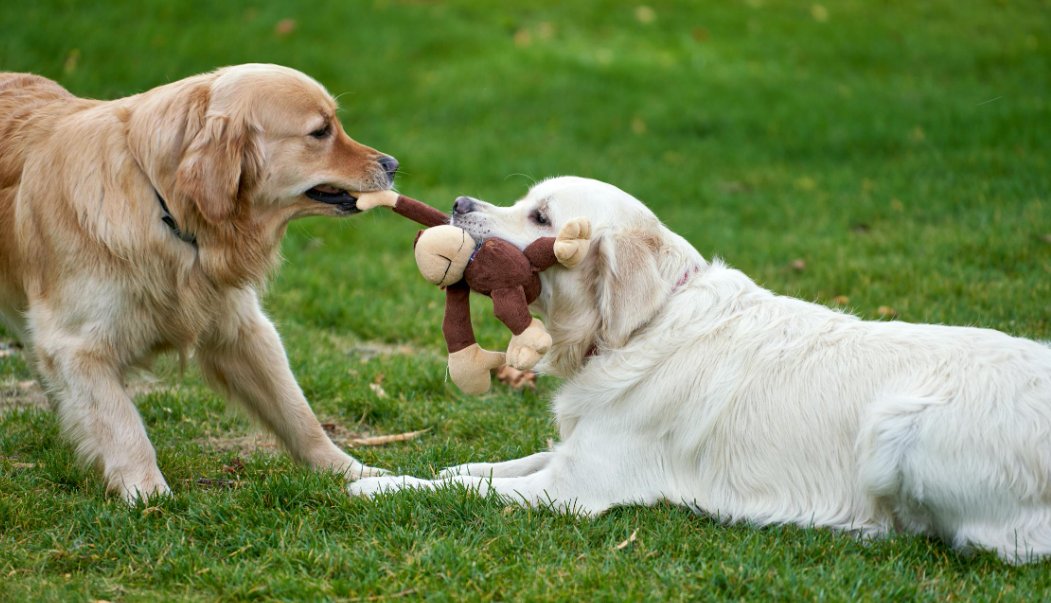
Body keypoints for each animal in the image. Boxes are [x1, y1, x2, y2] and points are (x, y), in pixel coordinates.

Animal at [0, 63, 395, 504]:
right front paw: (149, 496)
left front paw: (351, 470)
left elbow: (298, 413)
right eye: (321, 132)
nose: (393, 164)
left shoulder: (242, 329)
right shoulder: (75, 348)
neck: (164, 205)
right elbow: (124, 426)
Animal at [351, 177, 1051, 563]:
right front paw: (453, 465)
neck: (643, 324)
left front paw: (379, 488)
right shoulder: (575, 452)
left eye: (542, 217)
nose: (458, 201)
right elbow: (489, 467)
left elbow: (452, 489)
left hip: (900, 432)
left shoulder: (573, 490)